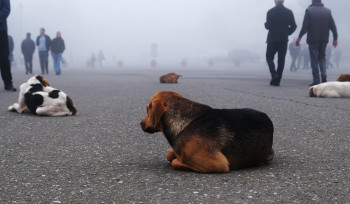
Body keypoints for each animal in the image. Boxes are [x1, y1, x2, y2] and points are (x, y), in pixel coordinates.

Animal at [141, 91, 274, 173]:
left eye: (147, 109)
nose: (140, 123)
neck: (187, 122)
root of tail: (268, 118)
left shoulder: (219, 163)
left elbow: (174, 162)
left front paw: (179, 161)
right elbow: (169, 154)